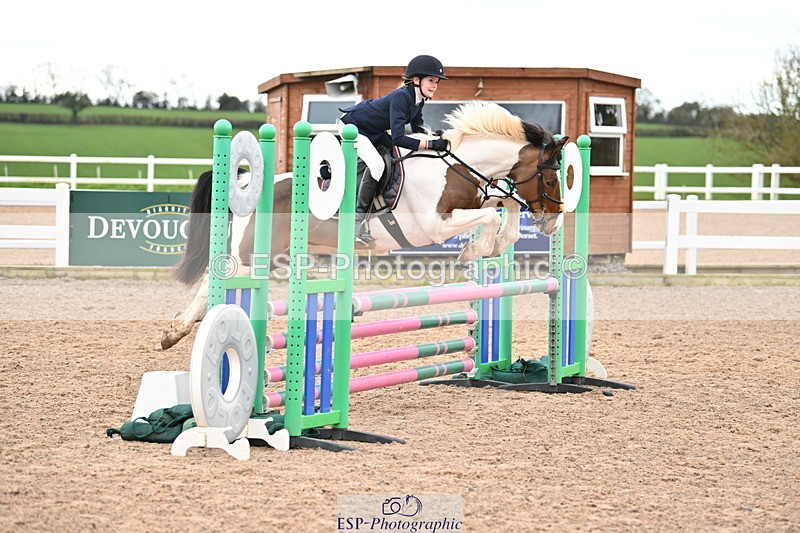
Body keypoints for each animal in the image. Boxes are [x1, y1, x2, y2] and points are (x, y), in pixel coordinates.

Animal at [161, 101, 568, 350]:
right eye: (550, 179)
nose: (551, 223)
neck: (454, 168)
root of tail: (247, 184)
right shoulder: (433, 226)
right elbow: (489, 215)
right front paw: (474, 250)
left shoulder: (477, 198)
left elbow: (503, 205)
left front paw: (492, 245)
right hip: (249, 256)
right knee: (214, 282)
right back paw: (177, 332)